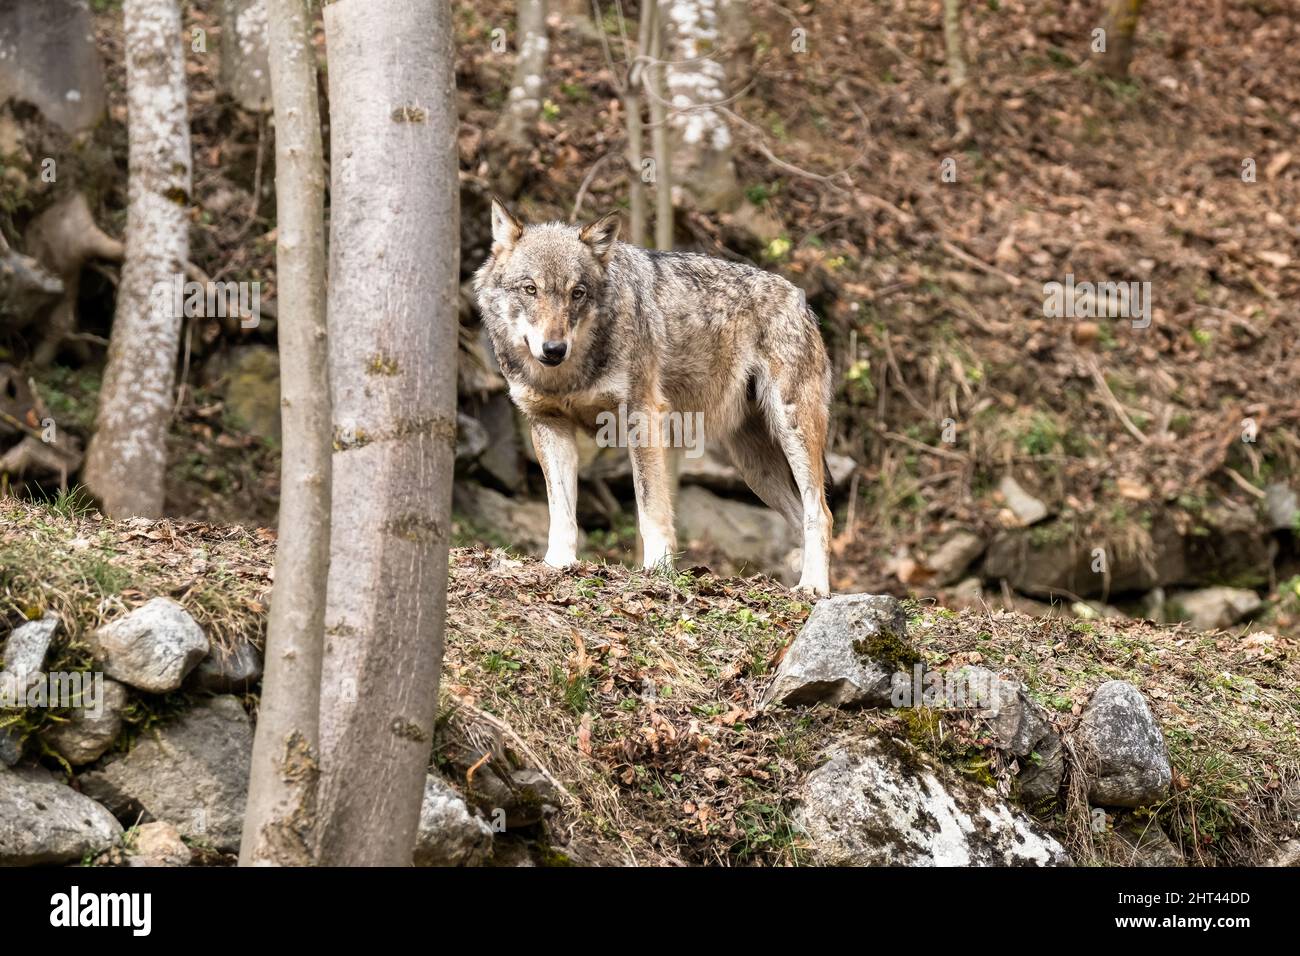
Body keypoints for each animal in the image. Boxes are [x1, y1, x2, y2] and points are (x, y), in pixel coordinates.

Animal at [475, 197, 832, 595]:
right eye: (530, 289)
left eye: (577, 293)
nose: (554, 349)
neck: (567, 376)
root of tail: (800, 299)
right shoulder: (549, 424)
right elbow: (562, 511)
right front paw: (557, 564)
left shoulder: (642, 416)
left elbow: (650, 507)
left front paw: (657, 571)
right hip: (754, 467)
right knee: (802, 515)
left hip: (791, 432)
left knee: (821, 513)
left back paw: (814, 588)